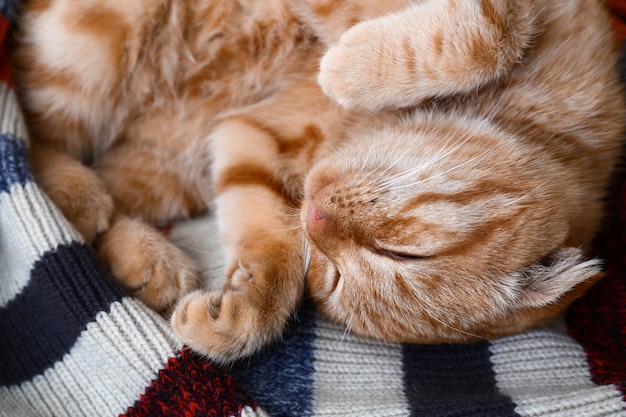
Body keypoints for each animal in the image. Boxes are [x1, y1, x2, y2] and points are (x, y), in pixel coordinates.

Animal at [11, 0, 624, 360]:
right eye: (403, 252)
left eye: (332, 277)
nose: (316, 217)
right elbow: (492, 34)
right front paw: (348, 65)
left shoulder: (246, 138)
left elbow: (270, 246)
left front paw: (244, 314)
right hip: (91, 38)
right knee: (30, 134)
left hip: (166, 168)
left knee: (82, 178)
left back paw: (143, 256)